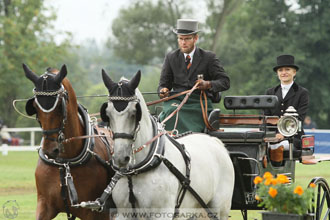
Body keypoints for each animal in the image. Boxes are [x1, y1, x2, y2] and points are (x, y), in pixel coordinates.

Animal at [22, 64, 114, 220]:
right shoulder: (45, 205)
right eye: (35, 107)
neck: (65, 163)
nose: (50, 150)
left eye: (60, 105)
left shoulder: (94, 211)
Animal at [99, 70, 236, 220]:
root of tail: (215, 141)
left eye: (134, 113)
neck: (138, 170)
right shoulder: (124, 214)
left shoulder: (162, 213)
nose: (120, 157)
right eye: (107, 114)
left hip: (220, 208)